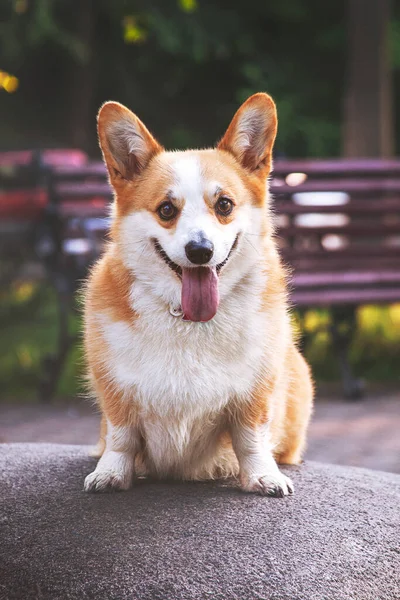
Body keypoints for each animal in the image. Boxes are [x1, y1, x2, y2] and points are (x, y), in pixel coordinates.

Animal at [83, 94, 312, 496]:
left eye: (224, 205)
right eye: (166, 209)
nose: (200, 251)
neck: (189, 320)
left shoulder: (255, 392)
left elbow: (251, 438)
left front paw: (263, 476)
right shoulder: (116, 389)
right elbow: (121, 437)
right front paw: (111, 473)